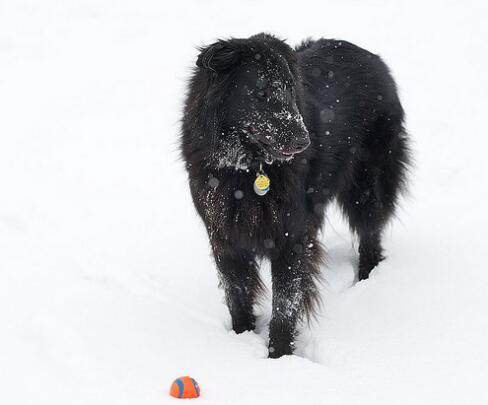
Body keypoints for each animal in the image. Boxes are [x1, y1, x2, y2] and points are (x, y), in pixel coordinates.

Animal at [180, 33, 410, 358]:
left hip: (368, 184)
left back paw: (366, 281)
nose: (304, 141)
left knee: (370, 234)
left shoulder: (291, 236)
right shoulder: (223, 236)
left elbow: (285, 305)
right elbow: (237, 294)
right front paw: (242, 336)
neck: (248, 168)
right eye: (260, 93)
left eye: (290, 89)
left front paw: (278, 357)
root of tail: (373, 57)